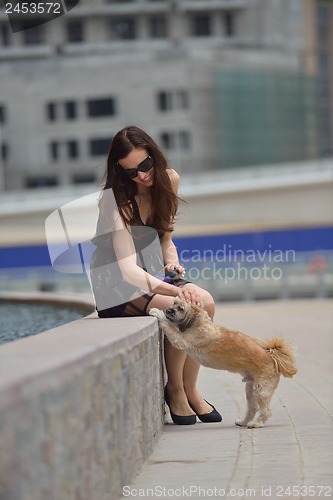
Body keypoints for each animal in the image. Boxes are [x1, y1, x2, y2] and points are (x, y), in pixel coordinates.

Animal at [149, 298, 296, 428]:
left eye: (181, 308)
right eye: (173, 302)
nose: (168, 310)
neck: (199, 323)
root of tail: (272, 358)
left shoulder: (181, 340)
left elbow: (170, 327)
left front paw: (157, 313)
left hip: (261, 390)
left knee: (266, 411)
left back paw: (256, 424)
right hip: (250, 389)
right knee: (252, 409)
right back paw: (243, 421)